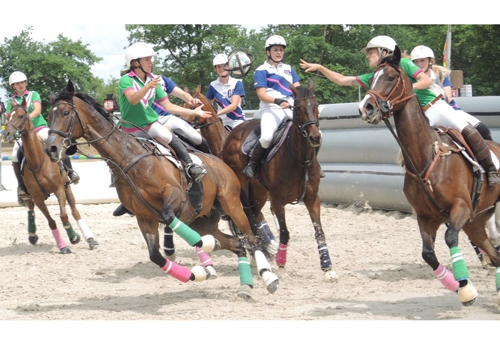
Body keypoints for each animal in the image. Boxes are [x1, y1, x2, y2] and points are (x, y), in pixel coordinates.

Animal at [2, 99, 98, 253]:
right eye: (8, 115)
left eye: (21, 116)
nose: (7, 134)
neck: (37, 161)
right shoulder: (37, 198)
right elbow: (51, 222)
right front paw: (63, 246)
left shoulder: (59, 190)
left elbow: (64, 215)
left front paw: (74, 237)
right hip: (30, 195)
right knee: (30, 209)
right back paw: (32, 235)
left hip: (67, 188)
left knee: (75, 211)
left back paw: (90, 239)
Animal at [45, 80, 280, 296]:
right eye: (48, 117)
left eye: (66, 112)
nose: (51, 148)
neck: (129, 160)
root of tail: (221, 163)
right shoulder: (144, 218)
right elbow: (156, 255)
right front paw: (196, 273)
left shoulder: (175, 196)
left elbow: (169, 219)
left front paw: (184, 250)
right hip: (202, 220)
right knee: (236, 242)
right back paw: (245, 284)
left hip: (231, 204)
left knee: (250, 238)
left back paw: (269, 277)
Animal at [221, 77, 338, 280]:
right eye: (298, 107)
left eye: (316, 105)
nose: (315, 137)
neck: (300, 161)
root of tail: (233, 133)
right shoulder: (277, 201)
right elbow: (284, 233)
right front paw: (281, 265)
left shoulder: (312, 199)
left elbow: (319, 232)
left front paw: (327, 268)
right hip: (243, 188)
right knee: (249, 217)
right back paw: (258, 255)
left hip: (259, 191)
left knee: (255, 216)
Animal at [360, 47, 500, 306]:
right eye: (372, 77)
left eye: (391, 77)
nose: (366, 107)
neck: (425, 157)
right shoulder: (426, 217)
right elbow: (428, 254)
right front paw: (457, 286)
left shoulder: (461, 207)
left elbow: (450, 237)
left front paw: (465, 287)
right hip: (476, 222)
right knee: (494, 253)